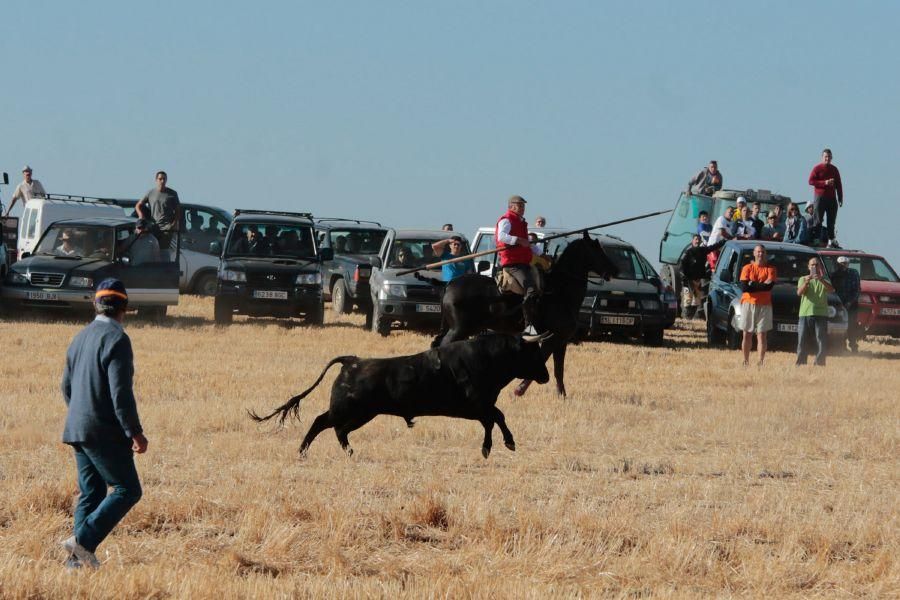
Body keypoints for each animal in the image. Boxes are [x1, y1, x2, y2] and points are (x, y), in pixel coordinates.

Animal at [250, 336, 552, 458]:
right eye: (532, 353)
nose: (546, 376)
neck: (487, 357)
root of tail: (352, 361)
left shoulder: (480, 407)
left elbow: (492, 419)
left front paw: (491, 447)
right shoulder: (479, 404)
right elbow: (497, 416)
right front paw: (506, 443)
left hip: (361, 413)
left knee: (337, 429)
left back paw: (345, 451)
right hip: (351, 409)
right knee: (322, 422)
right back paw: (303, 451)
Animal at [430, 234, 616, 398]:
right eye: (597, 249)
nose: (615, 270)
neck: (559, 291)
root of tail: (449, 284)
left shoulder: (561, 341)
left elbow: (559, 369)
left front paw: (561, 395)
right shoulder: (550, 339)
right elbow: (542, 359)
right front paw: (519, 390)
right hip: (460, 329)